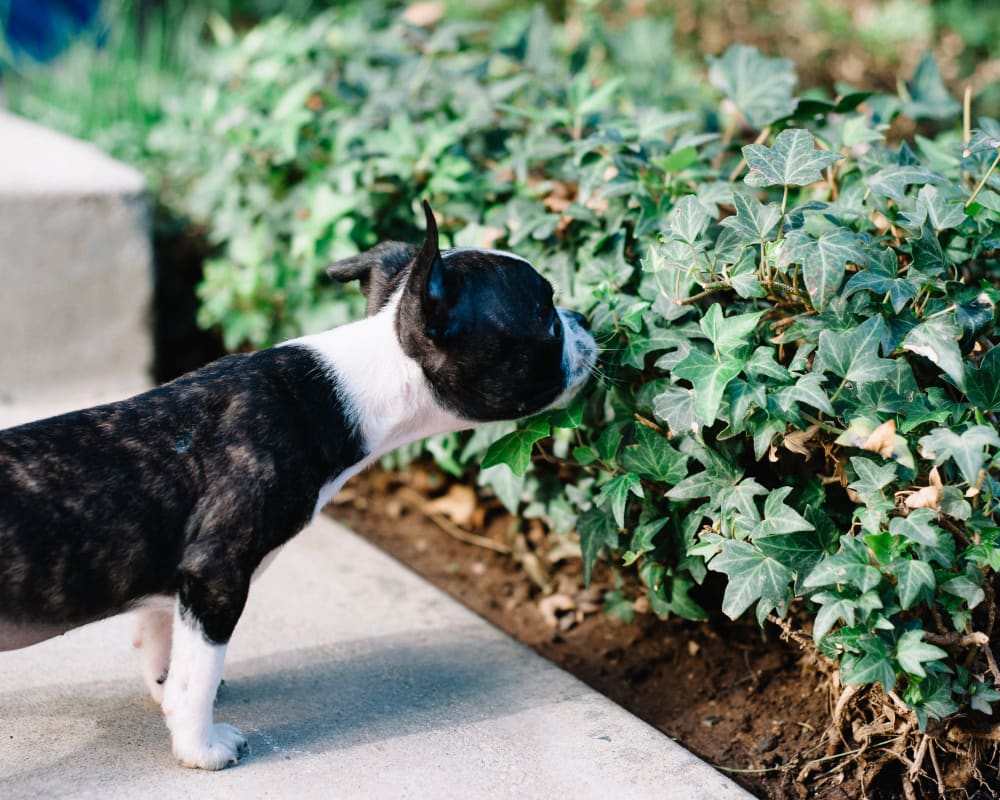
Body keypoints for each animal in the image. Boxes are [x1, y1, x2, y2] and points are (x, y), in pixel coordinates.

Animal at [0, 200, 592, 768]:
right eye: (546, 315)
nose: (584, 317)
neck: (355, 384)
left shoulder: (173, 581)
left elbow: (165, 647)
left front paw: (167, 696)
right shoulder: (215, 573)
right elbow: (198, 675)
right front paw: (199, 746)